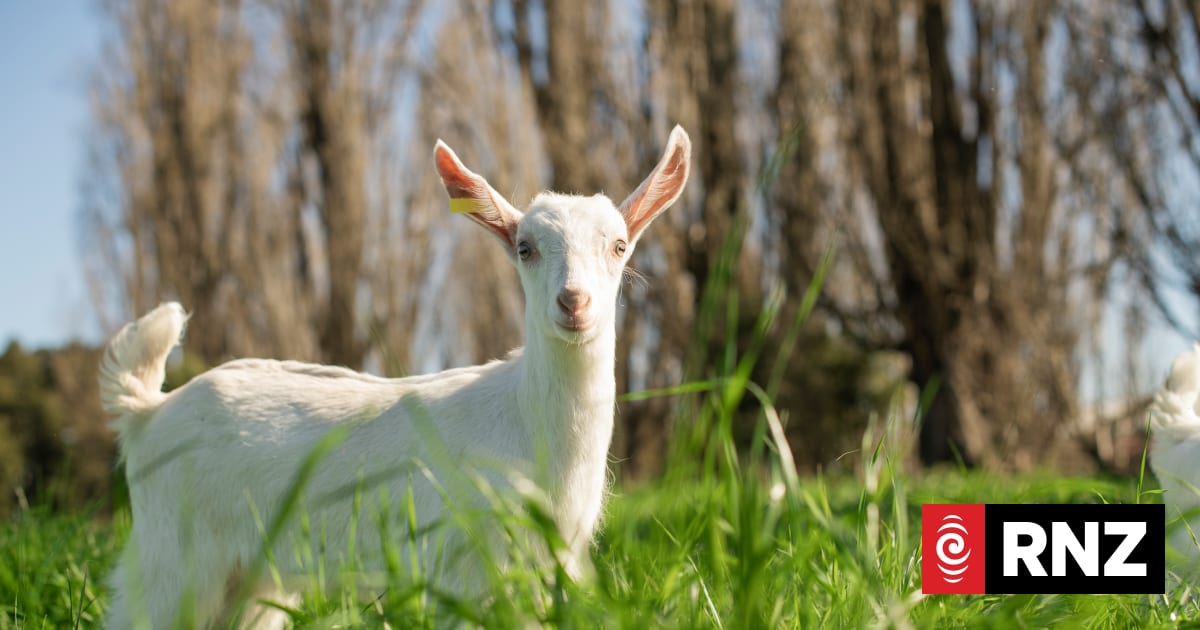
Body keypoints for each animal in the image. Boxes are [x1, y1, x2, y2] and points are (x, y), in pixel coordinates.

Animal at [101, 126, 691, 628]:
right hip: (172, 559)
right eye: (525, 248)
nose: (574, 302)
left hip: (249, 579)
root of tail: (147, 412)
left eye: (619, 245)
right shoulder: (464, 563)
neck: (531, 426)